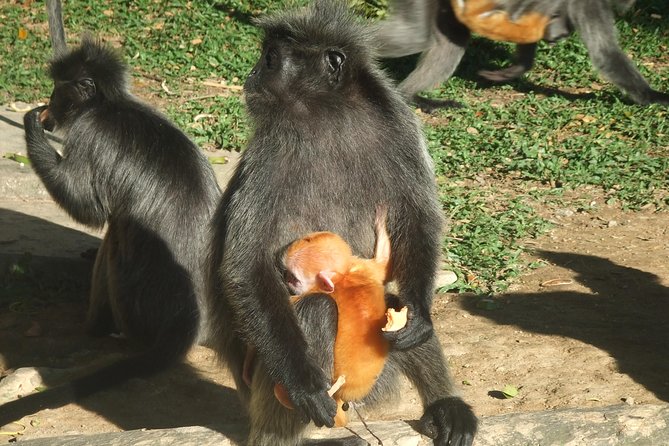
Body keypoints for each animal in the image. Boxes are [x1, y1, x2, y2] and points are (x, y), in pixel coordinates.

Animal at [0, 37, 221, 425]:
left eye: (57, 93)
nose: (49, 113)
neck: (110, 105)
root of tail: (189, 325)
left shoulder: (90, 133)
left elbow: (87, 208)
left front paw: (30, 125)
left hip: (135, 305)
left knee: (116, 232)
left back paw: (98, 327)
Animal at [206, 1, 477, 445]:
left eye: (270, 60)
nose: (251, 76)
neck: (327, 115)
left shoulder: (397, 126)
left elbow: (416, 217)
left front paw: (421, 314)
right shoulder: (270, 149)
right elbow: (245, 267)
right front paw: (305, 387)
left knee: (391, 301)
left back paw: (445, 407)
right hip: (263, 369)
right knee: (317, 310)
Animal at [373, 0, 669, 111]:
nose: (560, 36)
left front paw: (514, 70)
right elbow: (606, 55)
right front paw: (654, 96)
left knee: (446, 43)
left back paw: (410, 96)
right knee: (413, 37)